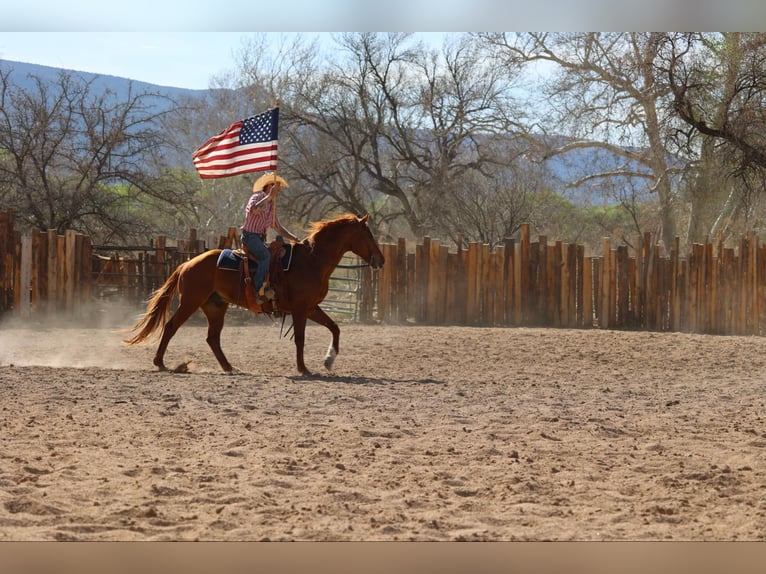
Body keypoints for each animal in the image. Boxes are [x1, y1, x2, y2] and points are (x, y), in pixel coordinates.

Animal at [124, 214, 385, 375]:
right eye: (369, 235)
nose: (381, 260)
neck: (312, 261)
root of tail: (187, 264)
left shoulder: (311, 307)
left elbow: (335, 327)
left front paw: (329, 360)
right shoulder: (300, 309)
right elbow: (300, 339)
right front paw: (303, 369)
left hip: (215, 306)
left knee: (212, 338)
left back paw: (229, 367)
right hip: (191, 302)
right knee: (171, 326)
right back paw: (160, 362)